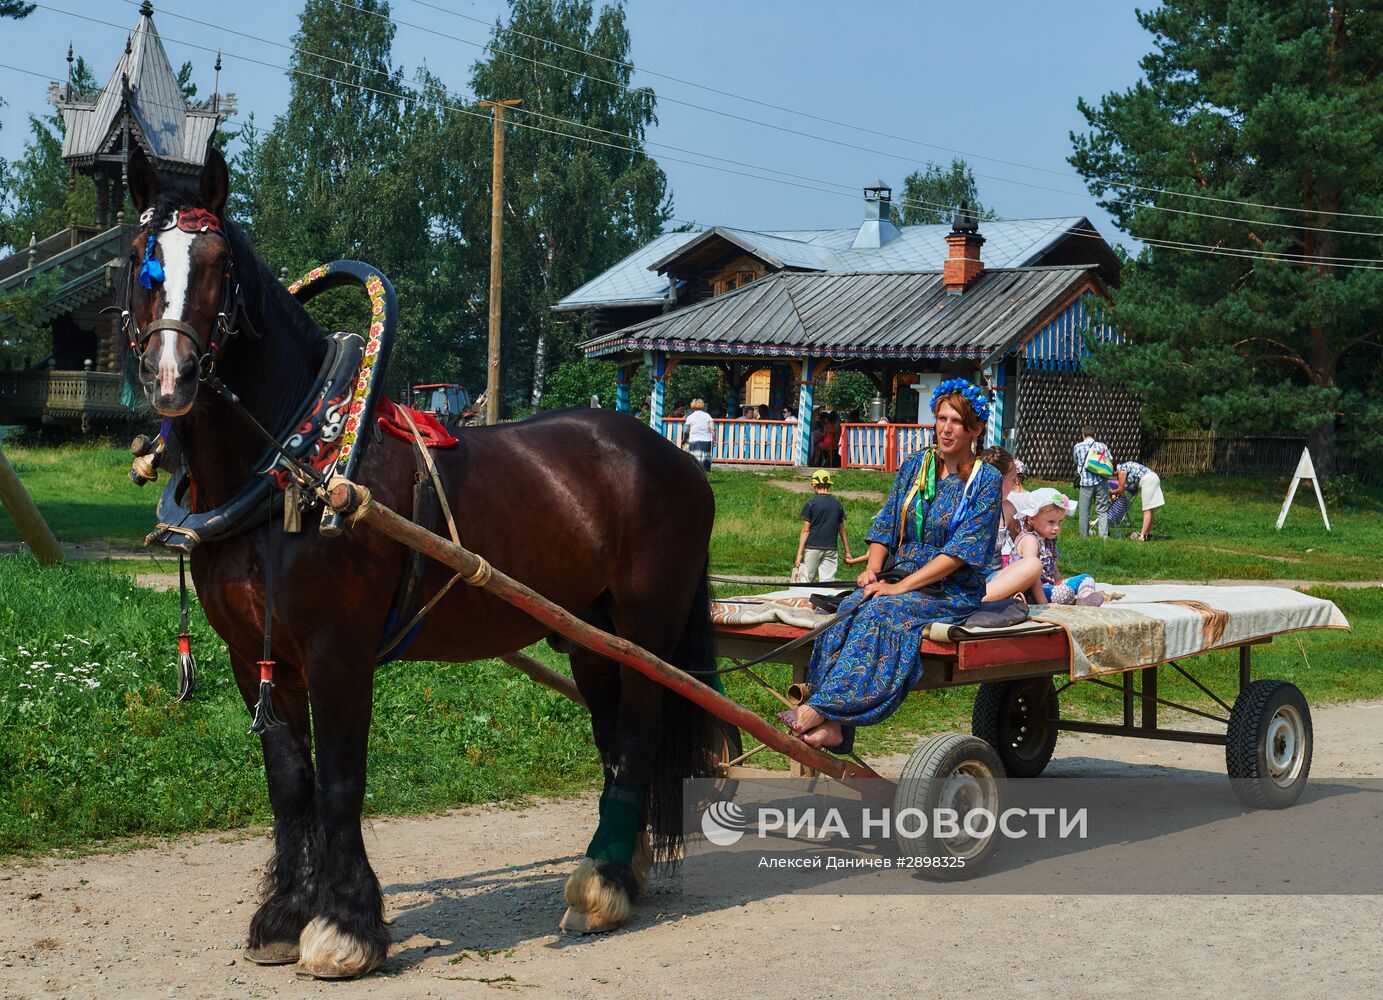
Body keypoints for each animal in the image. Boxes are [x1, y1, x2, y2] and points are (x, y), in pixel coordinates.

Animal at [124, 148, 724, 979]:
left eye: (217, 263)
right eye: (140, 261)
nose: (171, 377)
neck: (297, 460)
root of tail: (672, 457)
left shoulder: (338, 653)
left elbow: (340, 785)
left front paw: (345, 927)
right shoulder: (254, 656)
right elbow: (289, 785)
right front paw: (283, 916)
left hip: (646, 628)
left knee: (636, 739)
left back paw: (602, 886)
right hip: (590, 635)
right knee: (613, 744)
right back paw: (617, 866)